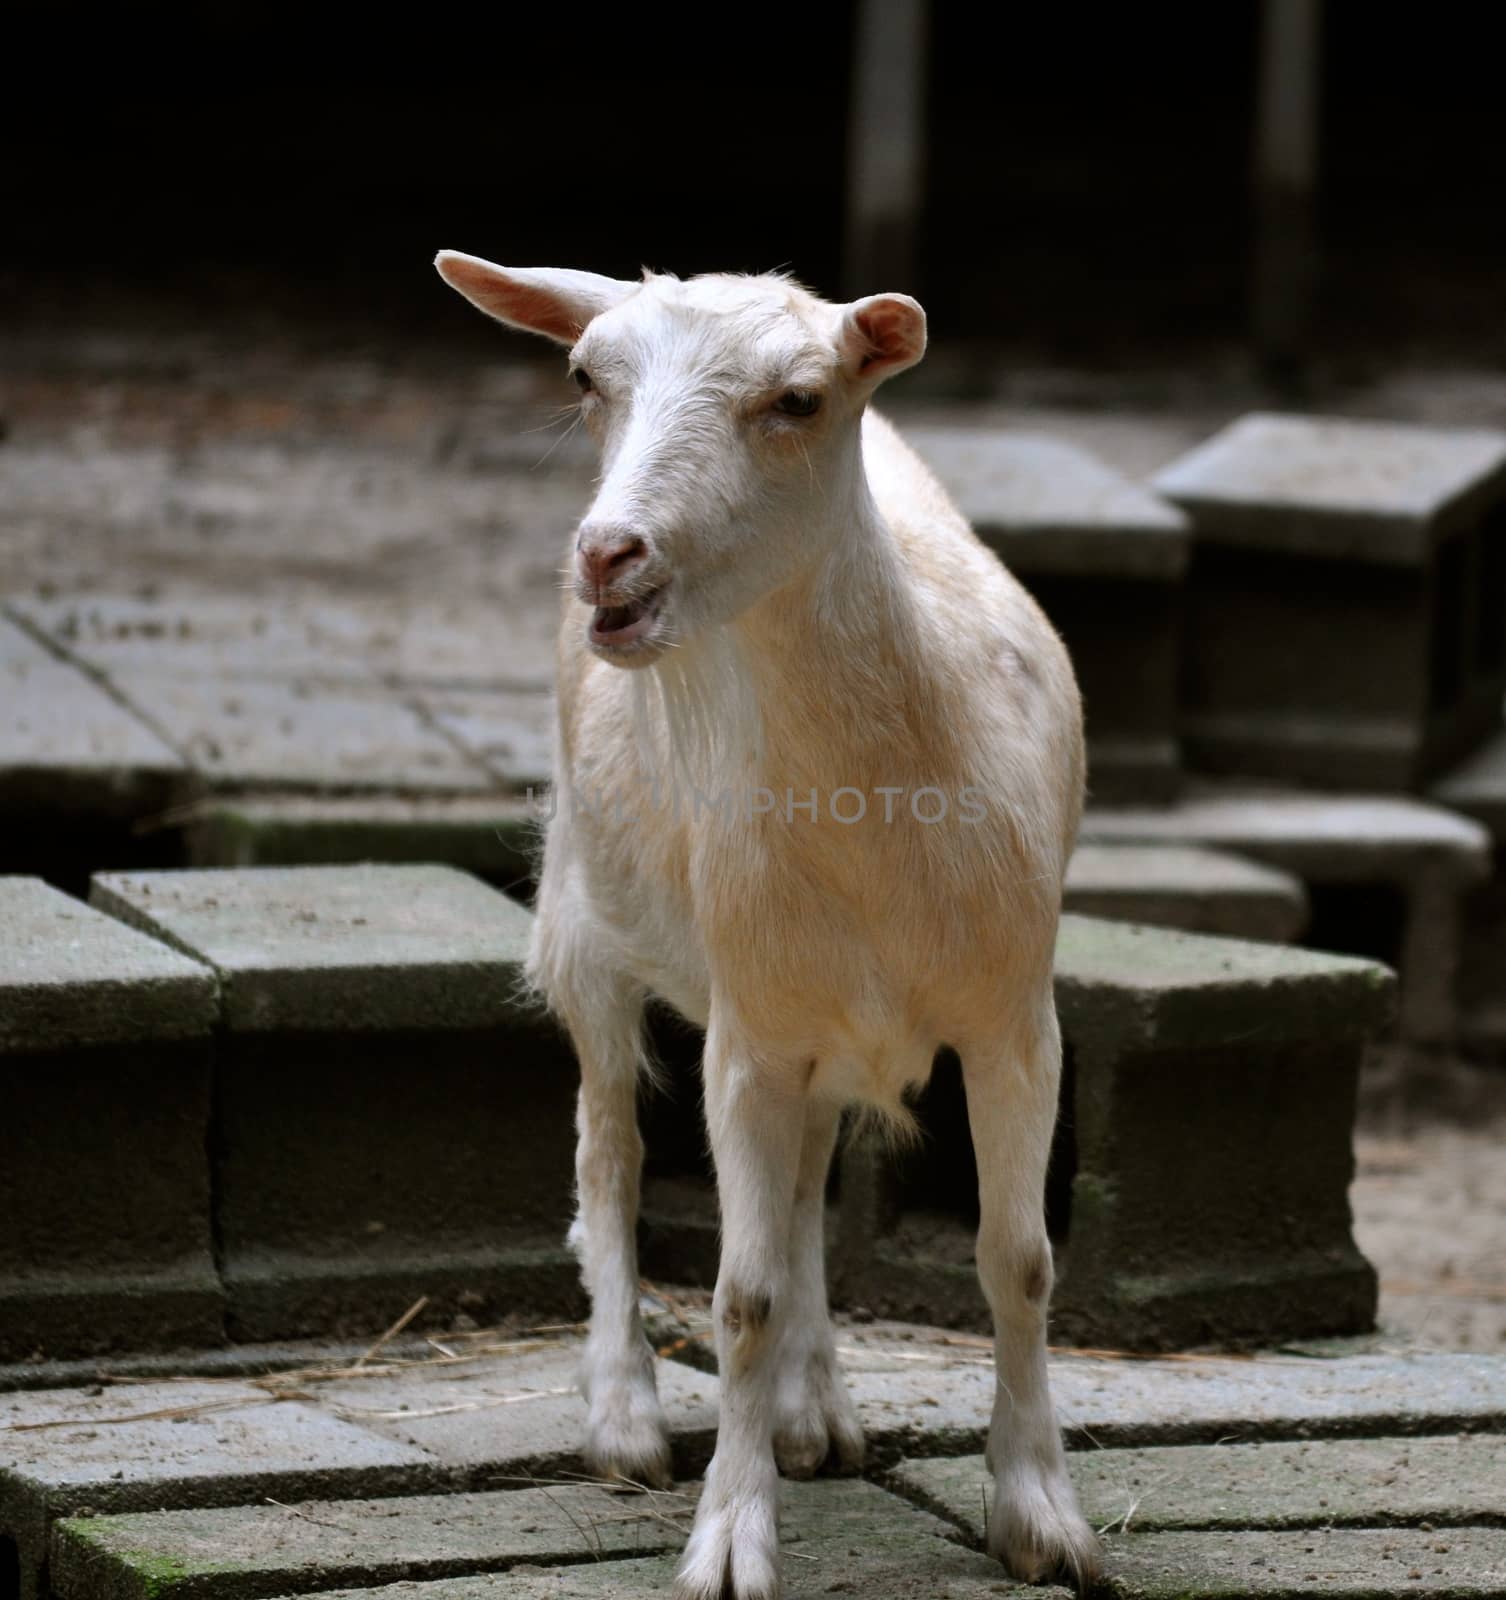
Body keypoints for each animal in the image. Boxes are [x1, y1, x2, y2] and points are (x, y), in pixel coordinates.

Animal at [432, 249, 1094, 1600]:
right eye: (585, 378)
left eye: (797, 399)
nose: (609, 557)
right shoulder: (744, 1033)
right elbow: (737, 1294)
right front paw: (730, 1540)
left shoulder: (1013, 1015)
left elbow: (1018, 1259)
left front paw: (1040, 1514)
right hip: (586, 923)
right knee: (609, 1153)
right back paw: (626, 1414)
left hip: (819, 1018)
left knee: (800, 1188)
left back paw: (815, 1410)